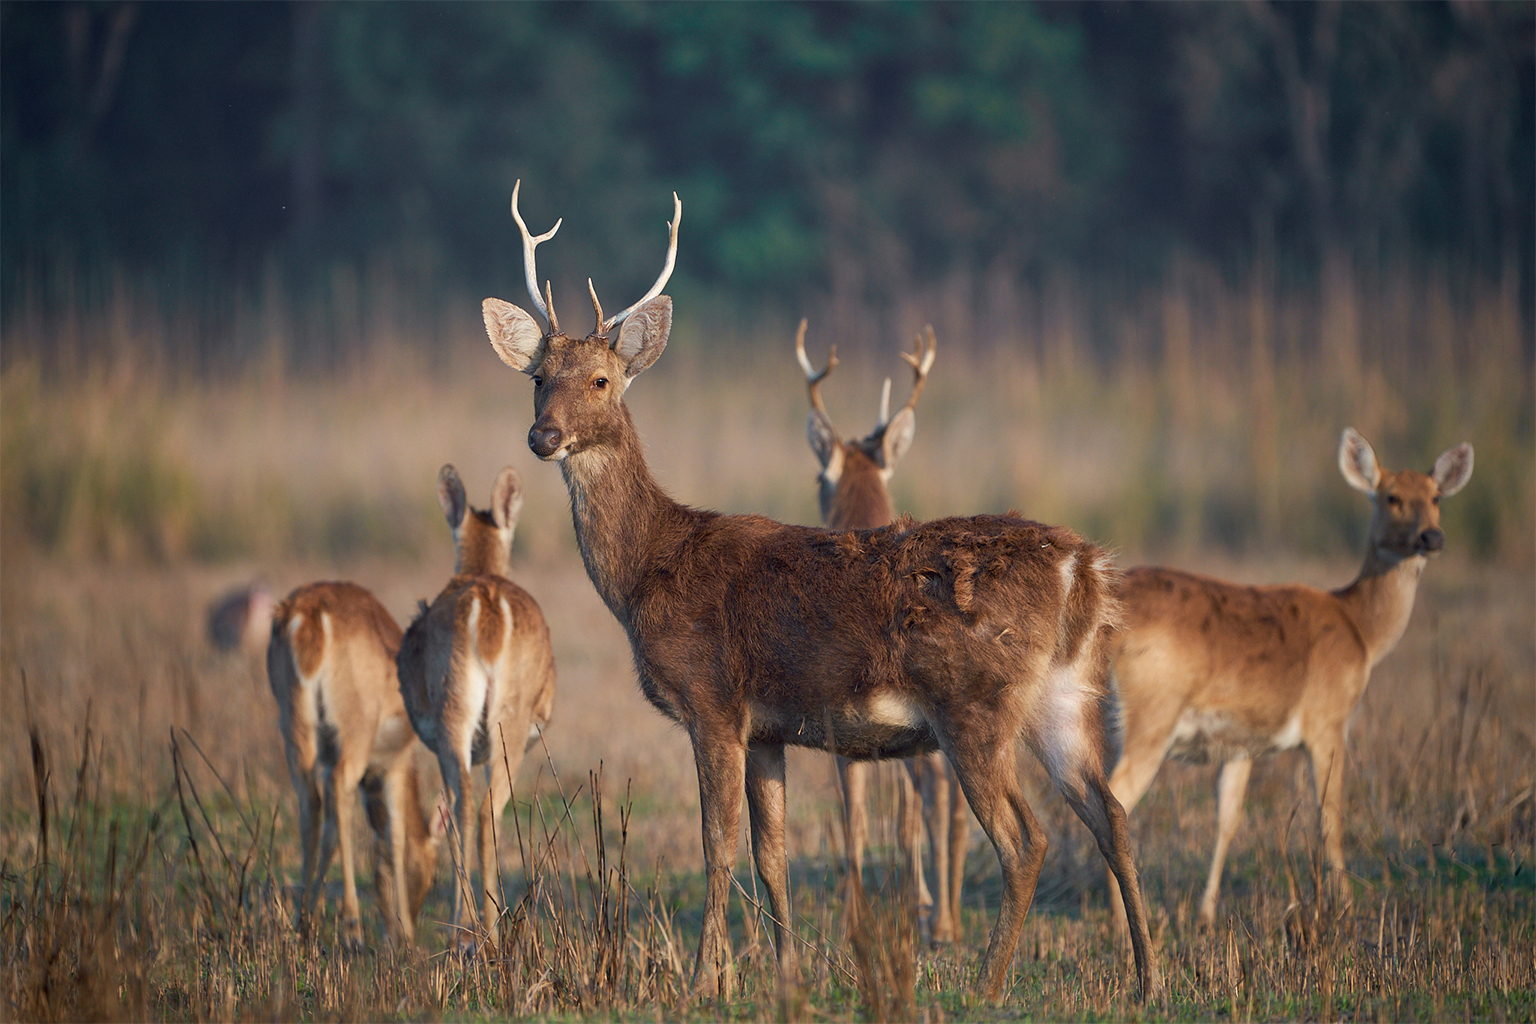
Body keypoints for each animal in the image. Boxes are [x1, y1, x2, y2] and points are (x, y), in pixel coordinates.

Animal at [267, 581, 445, 948]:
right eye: (435, 874)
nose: (416, 917)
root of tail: (308, 618)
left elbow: (335, 830)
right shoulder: (394, 767)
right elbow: (394, 837)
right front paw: (404, 933)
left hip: (294, 724)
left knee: (311, 803)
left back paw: (304, 922)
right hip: (354, 730)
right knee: (338, 787)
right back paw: (351, 926)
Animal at [396, 464, 557, 949]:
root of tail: (487, 614)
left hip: (459, 718)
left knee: (466, 806)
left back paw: (470, 929)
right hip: (503, 724)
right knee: (482, 807)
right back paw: (481, 927)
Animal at [796, 319, 971, 947]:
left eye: (819, 474)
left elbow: (861, 821)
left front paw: (859, 919)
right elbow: (903, 818)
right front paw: (916, 899)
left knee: (934, 792)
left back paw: (940, 922)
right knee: (953, 798)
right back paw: (947, 917)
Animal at [1107, 428, 1474, 928]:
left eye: (1436, 497)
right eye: (1392, 496)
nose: (1431, 536)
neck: (1362, 631)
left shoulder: (1240, 743)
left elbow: (1228, 817)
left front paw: (1207, 913)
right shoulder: (1328, 720)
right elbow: (1330, 818)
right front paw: (1345, 907)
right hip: (1152, 713)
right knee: (1116, 798)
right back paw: (1120, 925)